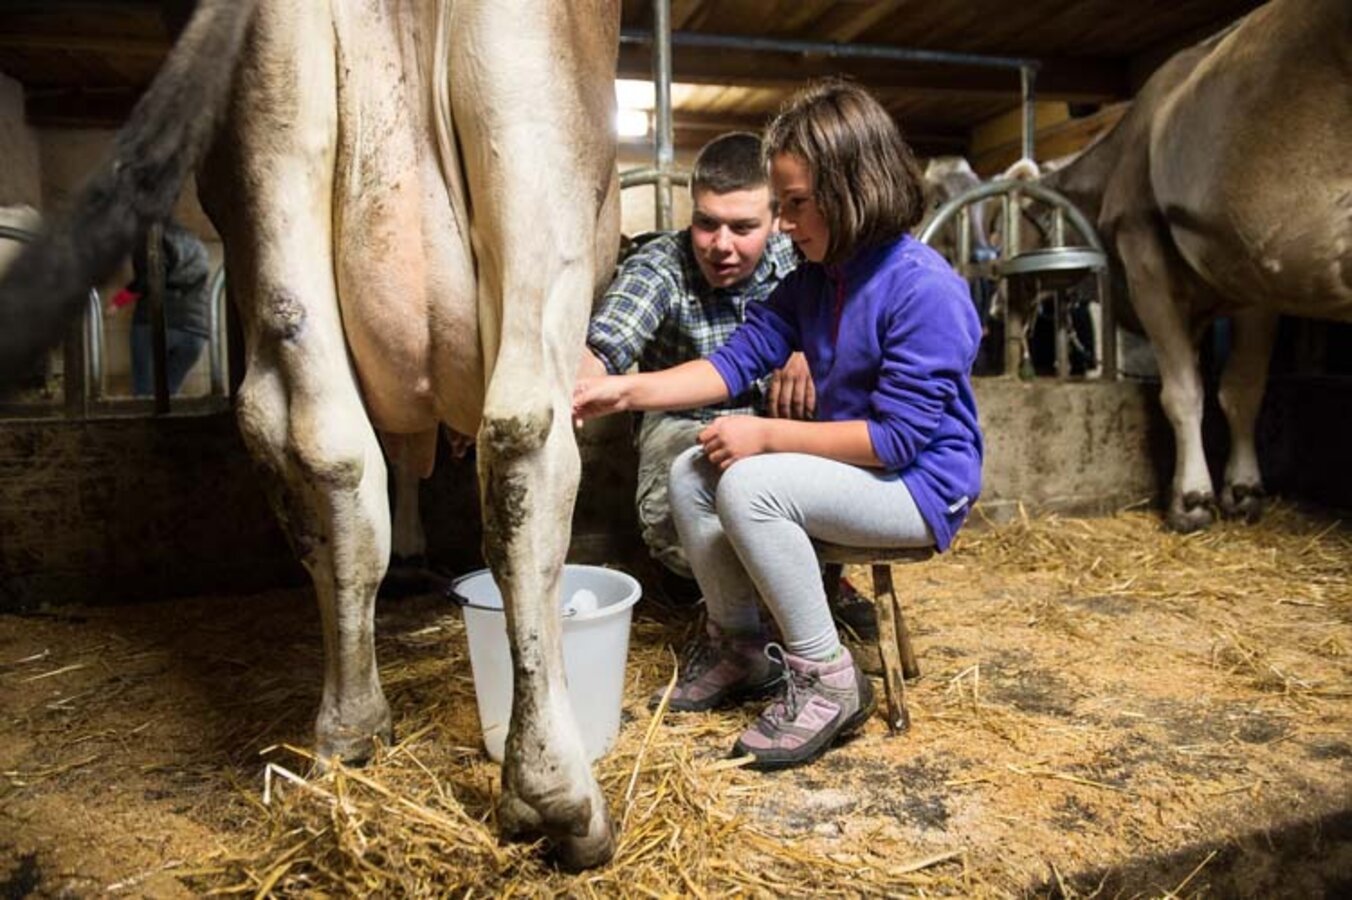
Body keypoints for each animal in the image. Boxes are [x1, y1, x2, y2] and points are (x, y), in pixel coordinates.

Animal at [0, 1, 619, 870]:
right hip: (537, 156)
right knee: (517, 434)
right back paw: (553, 793)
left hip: (268, 160)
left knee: (318, 446)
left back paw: (352, 729)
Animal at [1027, 0, 1346, 532]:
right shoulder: (1253, 277)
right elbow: (1240, 387)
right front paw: (1241, 490)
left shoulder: (1145, 257)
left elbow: (1184, 390)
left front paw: (1193, 499)